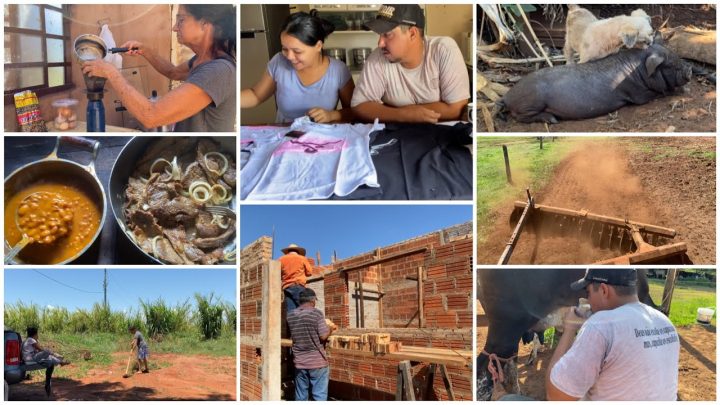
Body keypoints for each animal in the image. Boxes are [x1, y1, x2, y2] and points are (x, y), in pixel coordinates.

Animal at [498, 33, 696, 123]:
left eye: (677, 57)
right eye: (671, 65)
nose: (689, 69)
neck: (639, 70)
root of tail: (506, 96)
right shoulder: (637, 94)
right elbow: (655, 94)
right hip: (531, 102)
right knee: (520, 116)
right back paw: (552, 119)